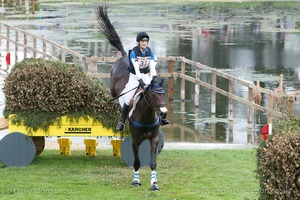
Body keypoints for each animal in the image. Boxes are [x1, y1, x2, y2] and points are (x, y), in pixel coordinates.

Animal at [95, 4, 168, 191]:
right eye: (153, 95)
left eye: (163, 94)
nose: (163, 113)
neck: (147, 116)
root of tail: (122, 57)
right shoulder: (135, 140)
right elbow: (136, 162)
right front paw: (136, 181)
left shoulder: (154, 139)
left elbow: (152, 162)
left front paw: (154, 183)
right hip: (115, 90)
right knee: (122, 103)